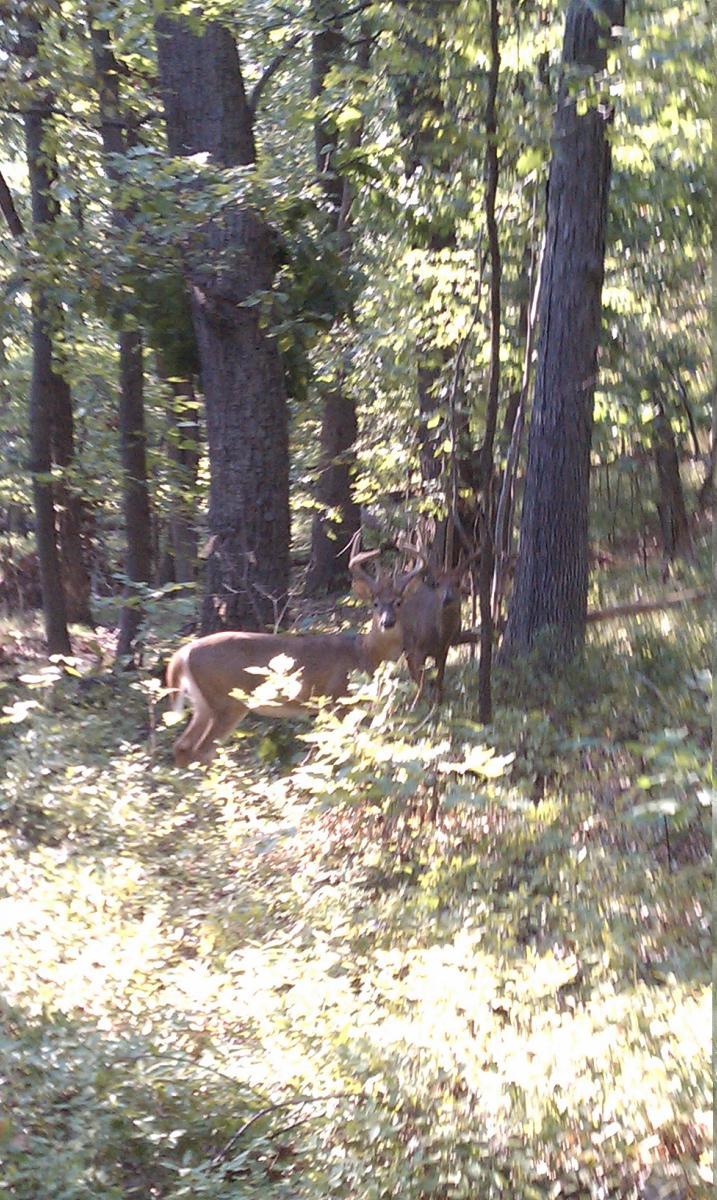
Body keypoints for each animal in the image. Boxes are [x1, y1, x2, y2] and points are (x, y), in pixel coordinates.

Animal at [165, 535, 424, 767]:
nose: (388, 622)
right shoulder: (335, 698)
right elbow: (338, 742)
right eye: (375, 603)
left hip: (203, 703)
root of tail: (183, 653)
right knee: (202, 749)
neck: (363, 654)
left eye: (399, 602)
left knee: (182, 745)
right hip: (227, 700)